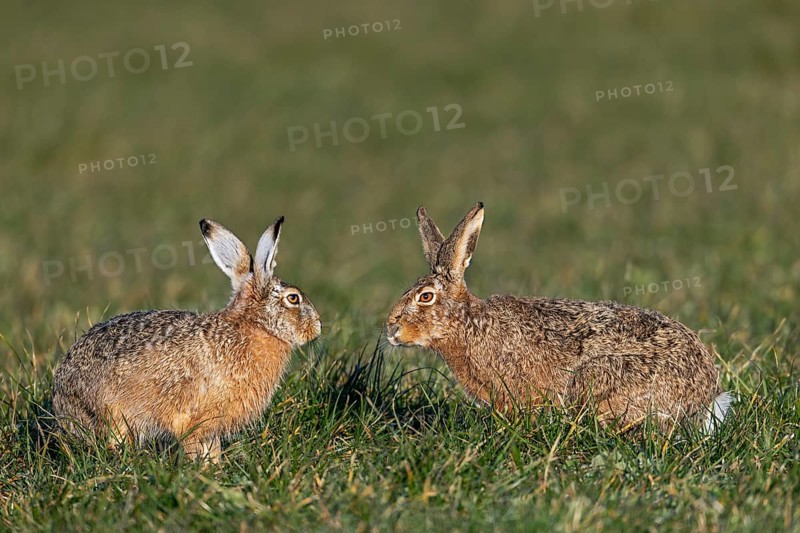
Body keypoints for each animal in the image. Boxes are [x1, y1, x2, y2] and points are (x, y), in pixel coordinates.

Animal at [52, 216, 321, 462]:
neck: (253, 326)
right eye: (293, 298)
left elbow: (213, 448)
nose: (318, 326)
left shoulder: (212, 426)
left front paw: (214, 469)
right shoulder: (190, 419)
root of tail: (60, 403)